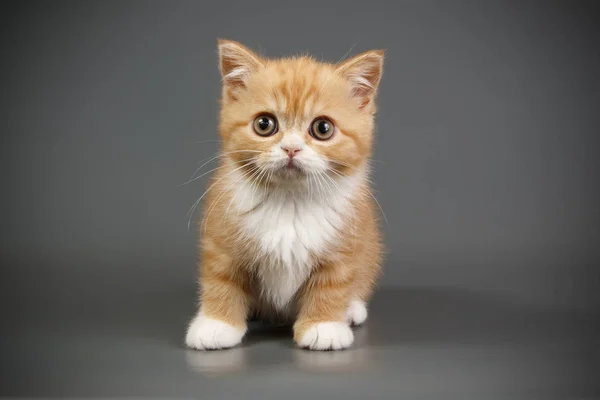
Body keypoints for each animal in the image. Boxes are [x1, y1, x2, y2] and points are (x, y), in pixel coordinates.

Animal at [183, 38, 386, 350]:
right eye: (264, 124)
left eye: (323, 128)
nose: (291, 148)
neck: (289, 201)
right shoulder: (221, 237)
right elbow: (221, 277)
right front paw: (216, 324)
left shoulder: (346, 243)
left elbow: (333, 282)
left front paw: (324, 325)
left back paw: (352, 309)